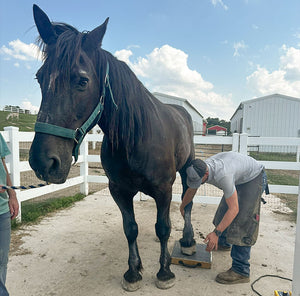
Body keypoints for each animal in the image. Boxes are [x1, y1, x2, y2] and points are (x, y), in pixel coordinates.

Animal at [29, 5, 196, 292]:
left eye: (82, 81)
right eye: (40, 78)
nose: (43, 162)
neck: (135, 139)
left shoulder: (163, 189)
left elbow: (163, 227)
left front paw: (164, 272)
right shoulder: (119, 191)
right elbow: (131, 229)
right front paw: (133, 271)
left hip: (188, 169)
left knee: (186, 204)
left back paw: (186, 241)